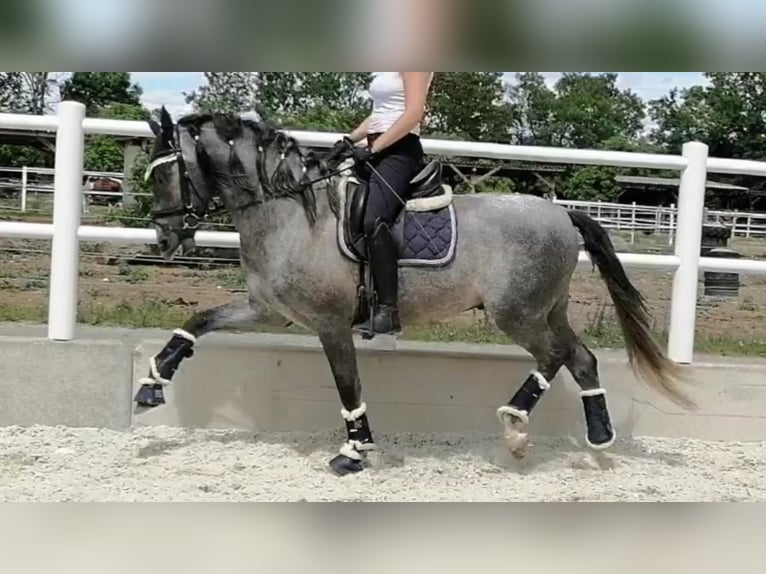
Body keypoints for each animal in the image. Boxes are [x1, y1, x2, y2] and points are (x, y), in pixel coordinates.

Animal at [134, 108, 696, 476]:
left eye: (166, 175)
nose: (164, 239)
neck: (292, 215)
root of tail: (562, 214)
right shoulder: (267, 311)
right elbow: (199, 320)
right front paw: (151, 385)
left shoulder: (331, 324)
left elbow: (347, 385)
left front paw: (354, 452)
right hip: (547, 308)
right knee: (580, 358)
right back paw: (597, 437)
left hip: (516, 313)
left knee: (555, 355)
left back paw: (514, 426)